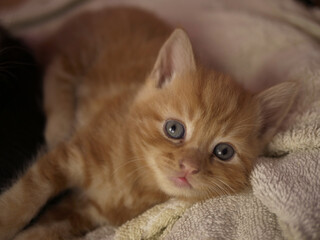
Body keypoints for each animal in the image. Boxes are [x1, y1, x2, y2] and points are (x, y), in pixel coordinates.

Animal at [0, 6, 296, 239]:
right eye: (174, 129)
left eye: (224, 152)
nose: (189, 167)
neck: (135, 177)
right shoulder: (72, 153)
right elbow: (28, 192)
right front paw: (6, 221)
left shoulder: (87, 212)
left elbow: (51, 227)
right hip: (76, 52)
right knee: (58, 73)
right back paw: (58, 126)